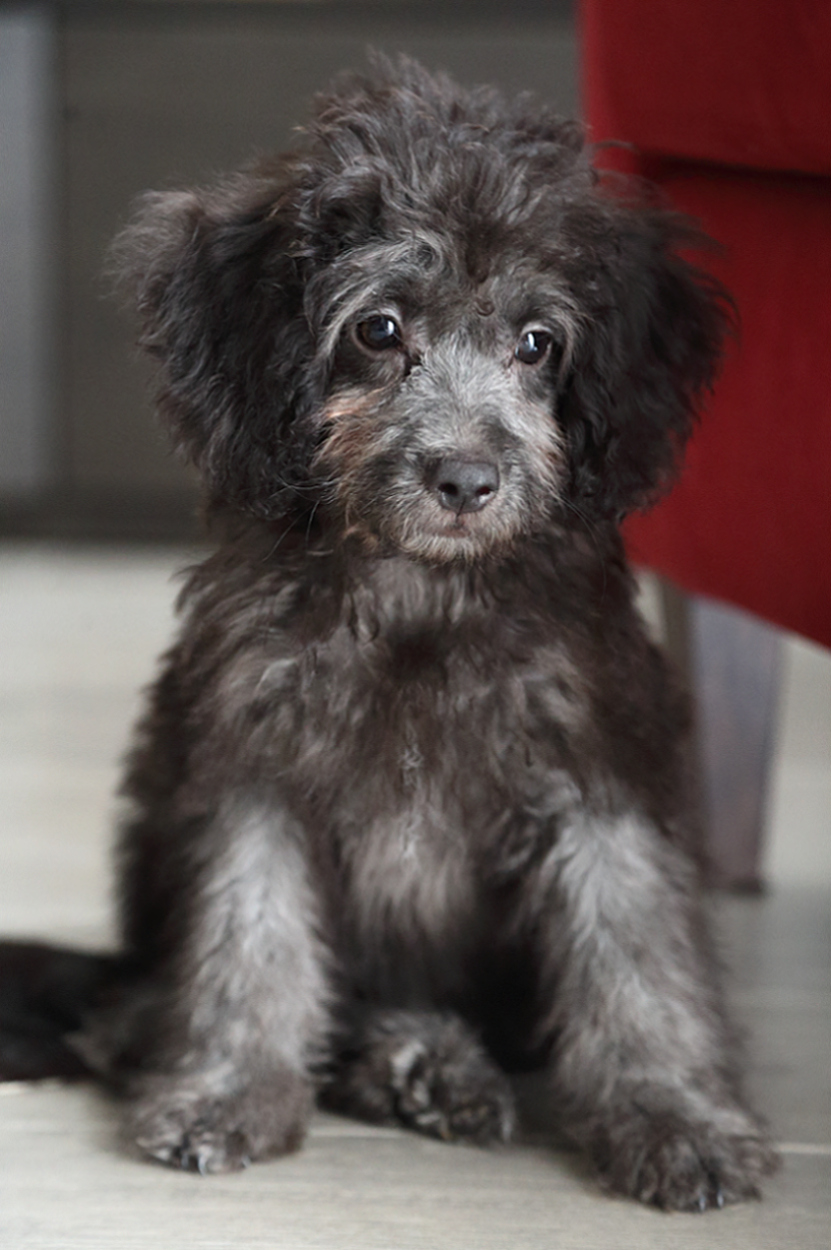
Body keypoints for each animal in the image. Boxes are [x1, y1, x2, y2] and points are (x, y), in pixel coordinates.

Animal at [0, 58, 778, 1210]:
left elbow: (636, 955)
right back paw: (415, 1058)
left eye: (538, 343)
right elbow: (248, 936)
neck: (419, 591)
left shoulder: (597, 763)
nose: (465, 478)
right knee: (129, 1013)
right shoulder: (253, 758)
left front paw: (673, 1114)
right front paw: (229, 1086)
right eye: (378, 329)